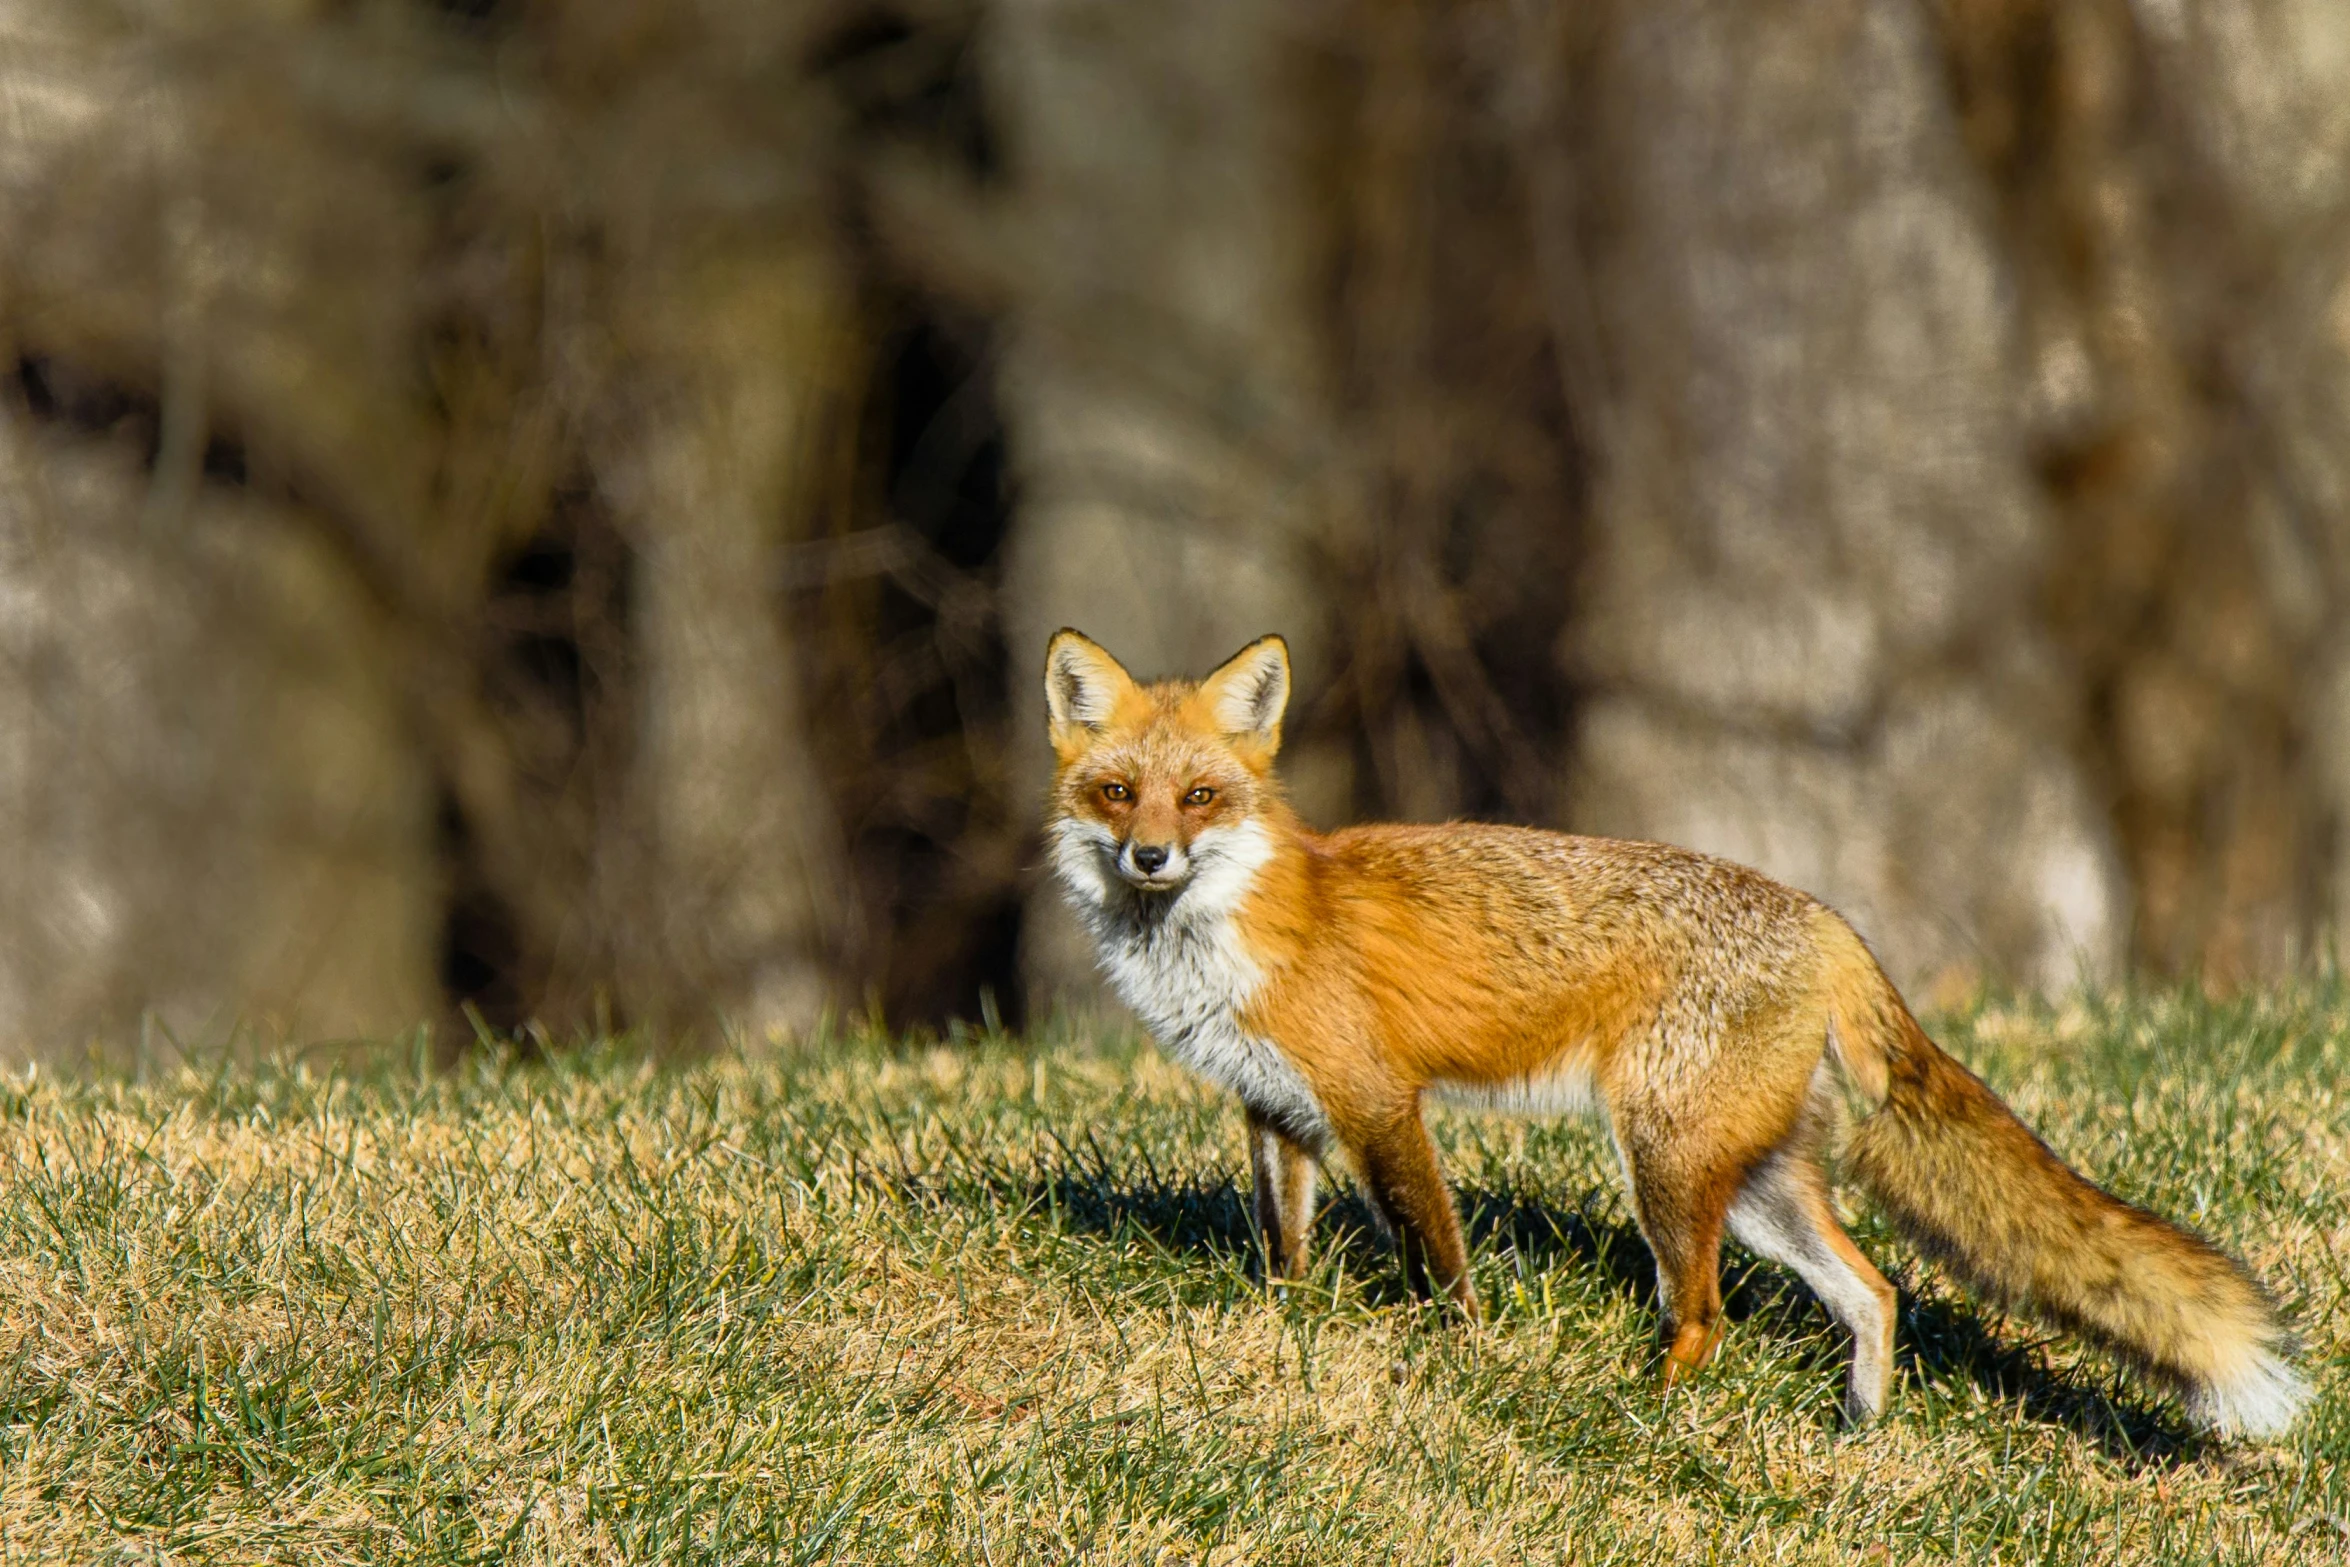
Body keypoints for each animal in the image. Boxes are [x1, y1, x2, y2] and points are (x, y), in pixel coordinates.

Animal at [1043, 629, 2312, 1437]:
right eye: (1116, 792)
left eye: (1199, 797)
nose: (1149, 857)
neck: (1228, 928)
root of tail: (1823, 916)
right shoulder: (1274, 1107)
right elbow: (1283, 1249)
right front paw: (1282, 1329)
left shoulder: (1374, 1099)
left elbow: (1434, 1254)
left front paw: (1455, 1355)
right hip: (1750, 1180)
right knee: (1871, 1292)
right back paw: (1855, 1429)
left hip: (1662, 1159)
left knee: (1704, 1313)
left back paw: (1649, 1405)